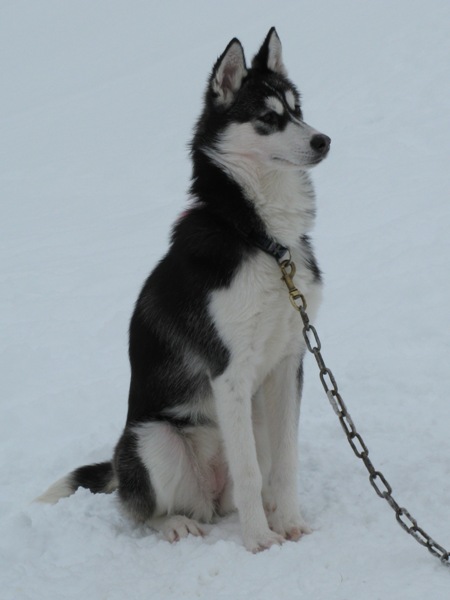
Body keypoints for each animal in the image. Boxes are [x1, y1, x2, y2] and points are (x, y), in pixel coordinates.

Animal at [38, 28, 328, 552]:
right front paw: (259, 541)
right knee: (142, 510)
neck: (262, 239)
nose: (324, 140)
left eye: (298, 109)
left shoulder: (287, 363)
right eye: (268, 118)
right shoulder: (230, 372)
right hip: (152, 438)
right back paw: (176, 524)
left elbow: (284, 463)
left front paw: (291, 523)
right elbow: (252, 472)